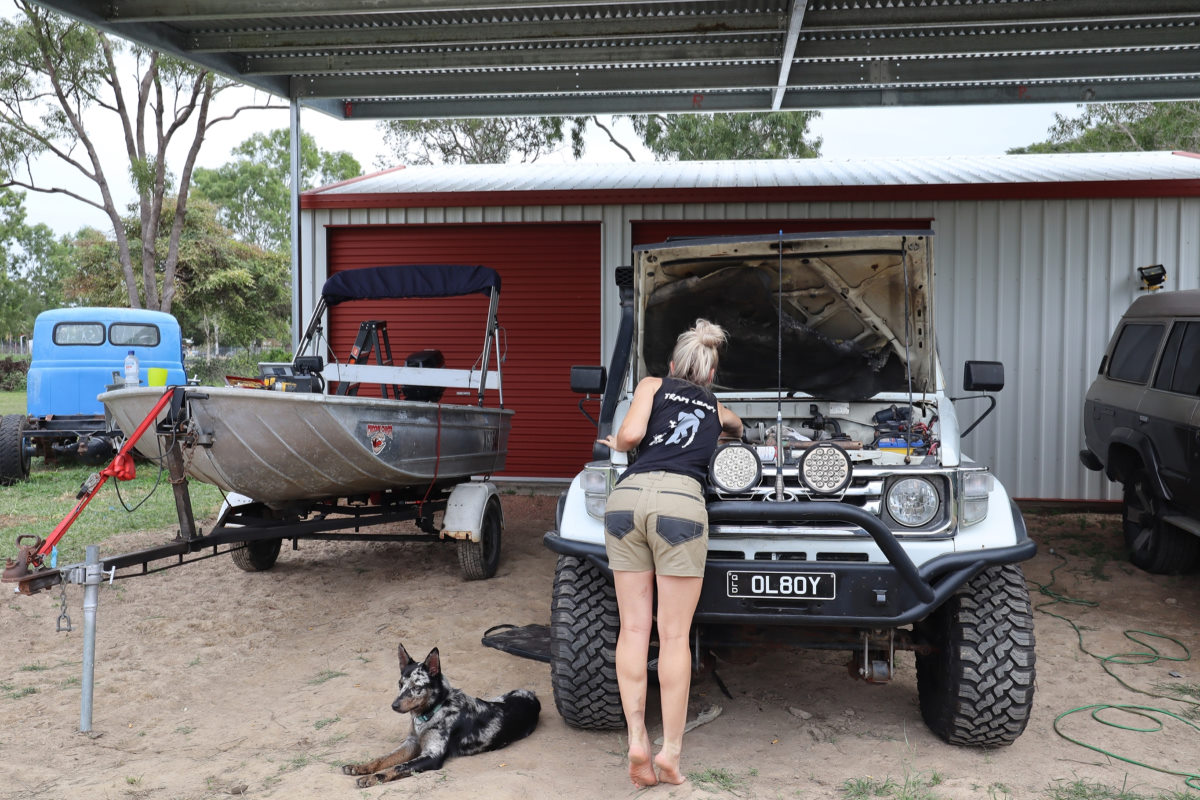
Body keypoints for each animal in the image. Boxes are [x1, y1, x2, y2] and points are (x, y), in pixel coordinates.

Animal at [343, 642, 540, 786]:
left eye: (416, 687)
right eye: (400, 684)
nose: (394, 706)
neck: (431, 712)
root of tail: (533, 696)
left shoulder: (432, 755)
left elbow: (398, 767)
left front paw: (371, 778)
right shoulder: (410, 744)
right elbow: (384, 758)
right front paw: (360, 767)